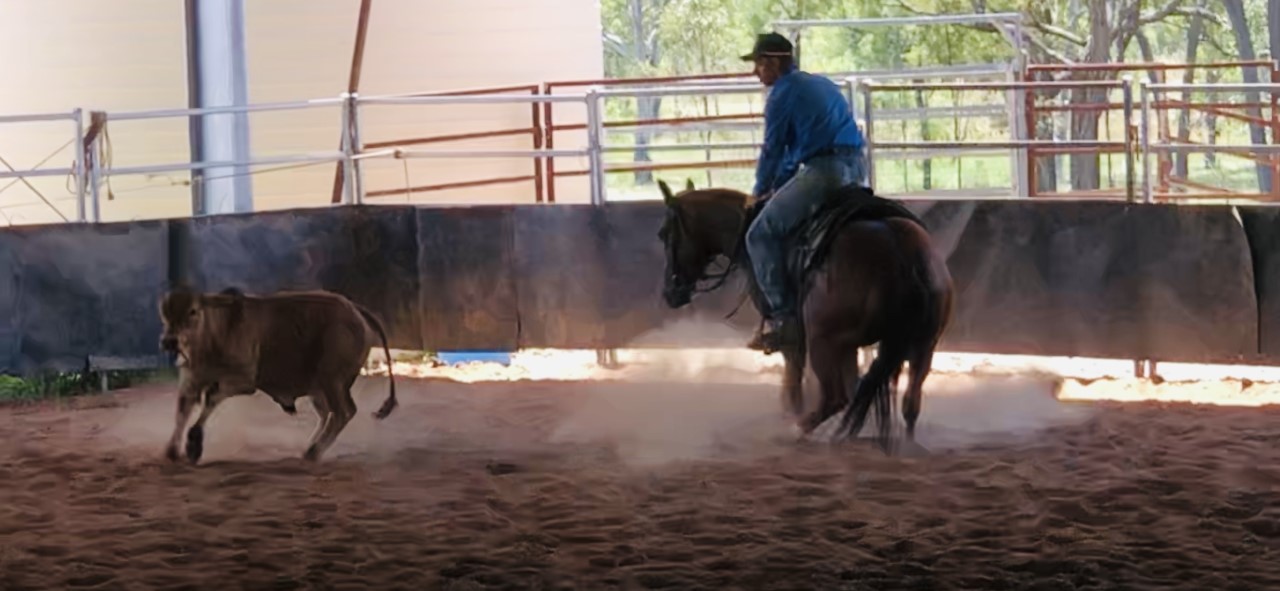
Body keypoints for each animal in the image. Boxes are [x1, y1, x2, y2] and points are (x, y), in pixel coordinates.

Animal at [158, 285, 398, 464]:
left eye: (193, 311)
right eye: (164, 313)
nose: (169, 341)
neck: (217, 333)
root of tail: (355, 310)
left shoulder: (243, 381)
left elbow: (210, 398)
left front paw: (194, 443)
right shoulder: (191, 382)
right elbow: (182, 412)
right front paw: (172, 450)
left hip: (332, 380)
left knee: (343, 412)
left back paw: (313, 451)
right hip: (320, 387)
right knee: (327, 413)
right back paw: (311, 446)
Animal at [655, 178, 954, 452]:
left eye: (663, 233)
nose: (670, 292)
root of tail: (902, 250)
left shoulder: (796, 338)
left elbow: (793, 382)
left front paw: (790, 414)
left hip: (825, 341)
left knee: (835, 397)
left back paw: (791, 431)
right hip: (922, 344)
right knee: (907, 401)